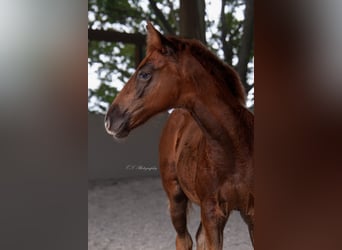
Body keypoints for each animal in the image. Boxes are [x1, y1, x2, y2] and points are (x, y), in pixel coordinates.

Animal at [105, 22, 254, 249]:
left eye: (144, 74)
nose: (110, 119)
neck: (235, 150)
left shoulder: (252, 215)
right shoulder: (212, 213)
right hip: (176, 198)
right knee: (184, 239)